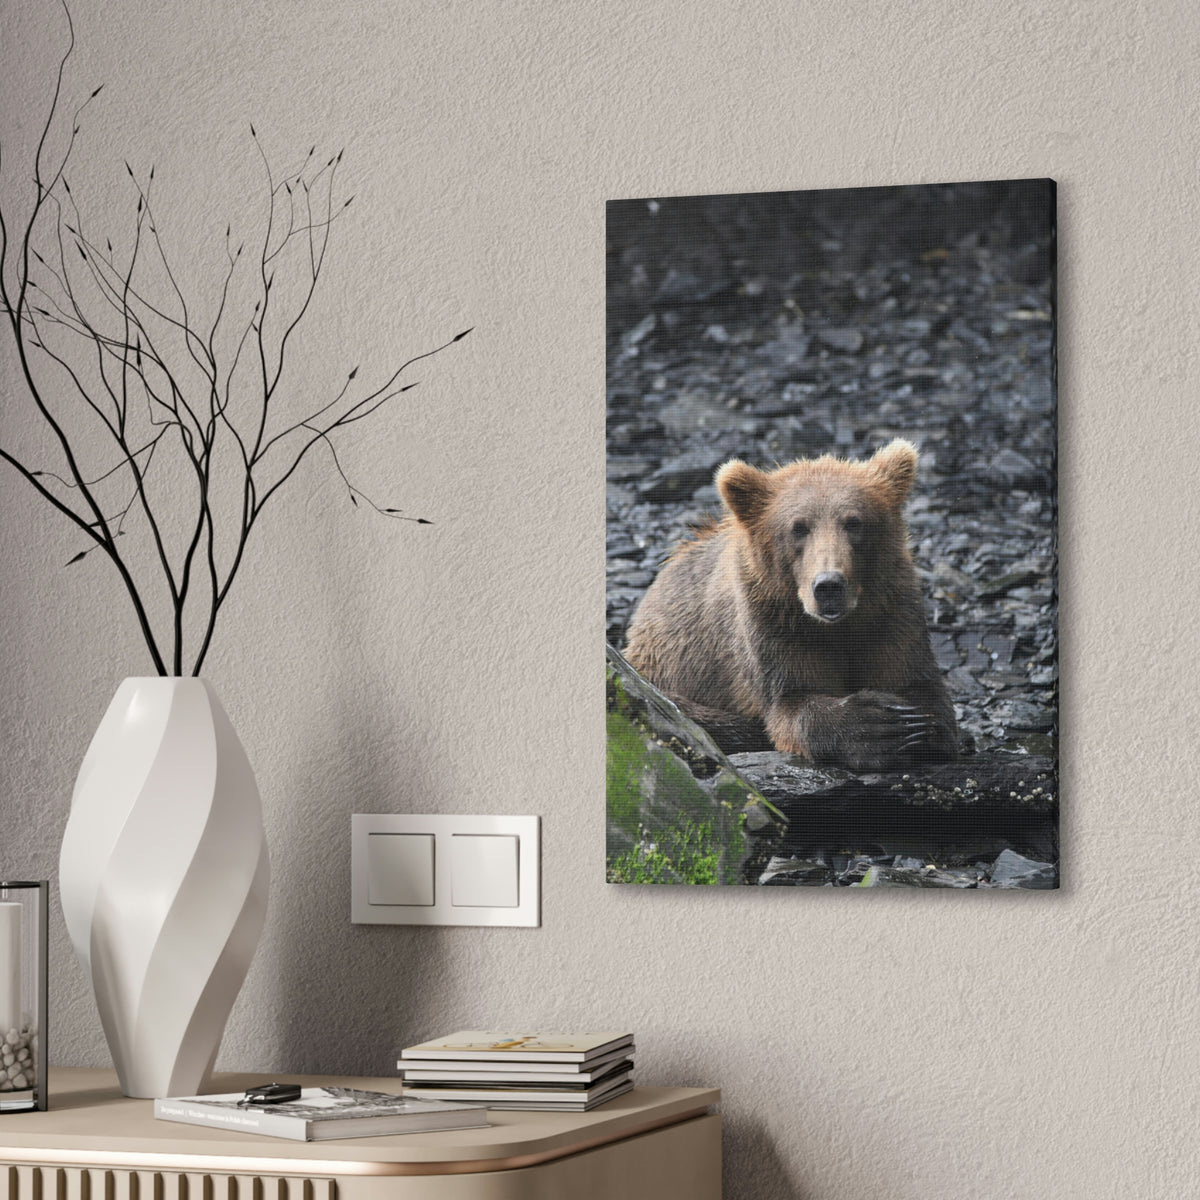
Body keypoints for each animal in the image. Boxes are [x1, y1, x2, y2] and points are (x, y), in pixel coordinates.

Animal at [623, 438, 957, 771]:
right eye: (798, 527)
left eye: (854, 522)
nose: (828, 586)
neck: (837, 626)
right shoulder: (774, 624)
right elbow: (792, 701)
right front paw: (877, 725)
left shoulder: (890, 612)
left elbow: (917, 685)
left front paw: (913, 725)